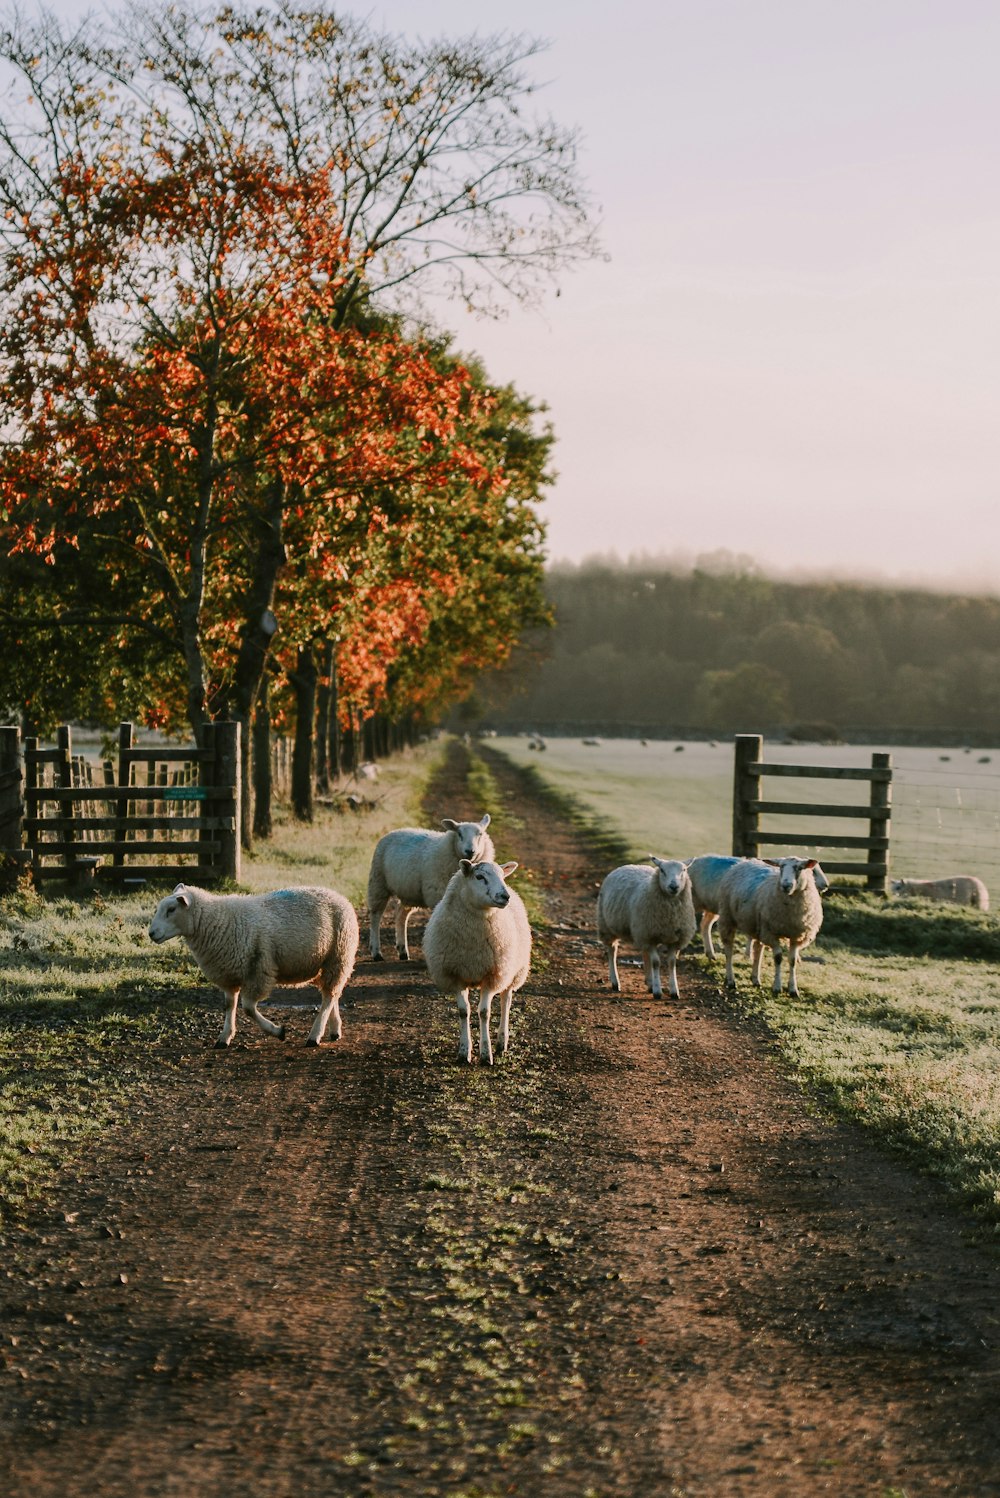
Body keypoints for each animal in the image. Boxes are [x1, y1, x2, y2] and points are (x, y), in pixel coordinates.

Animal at [148, 880, 359, 1048]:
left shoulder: (258, 970)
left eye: (171, 910)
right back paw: (334, 1030)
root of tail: (340, 897)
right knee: (332, 994)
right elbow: (229, 1005)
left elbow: (248, 1008)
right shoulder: (229, 974)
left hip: (338, 956)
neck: (218, 922)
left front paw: (277, 1031)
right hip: (324, 962)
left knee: (329, 996)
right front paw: (224, 1038)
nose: (151, 933)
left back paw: (315, 1035)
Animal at [419, 856, 529, 1066]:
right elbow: (463, 1011)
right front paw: (464, 1052)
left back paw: (501, 1042)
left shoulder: (492, 975)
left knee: (506, 1002)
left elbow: (484, 1012)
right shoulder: (455, 975)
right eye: (479, 877)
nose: (505, 896)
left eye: (502, 876)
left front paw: (486, 1054)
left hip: (512, 971)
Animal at [592, 862, 694, 1000]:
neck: (670, 915)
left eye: (684, 870)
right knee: (612, 951)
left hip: (641, 932)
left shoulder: (674, 940)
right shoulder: (649, 937)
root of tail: (629, 865)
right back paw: (615, 982)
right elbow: (656, 962)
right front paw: (658, 992)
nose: (674, 887)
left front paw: (674, 991)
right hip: (607, 926)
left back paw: (650, 983)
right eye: (662, 870)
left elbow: (672, 963)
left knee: (645, 954)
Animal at [682, 856, 832, 958]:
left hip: (714, 907)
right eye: (813, 871)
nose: (826, 885)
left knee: (705, 925)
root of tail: (689, 861)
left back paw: (710, 953)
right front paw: (749, 955)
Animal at [715, 856, 826, 994]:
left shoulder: (796, 935)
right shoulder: (771, 933)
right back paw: (730, 980)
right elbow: (778, 958)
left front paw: (793, 989)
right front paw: (777, 987)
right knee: (729, 950)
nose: (786, 885)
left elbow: (792, 960)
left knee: (758, 950)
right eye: (781, 867)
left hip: (757, 925)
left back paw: (755, 979)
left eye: (800, 868)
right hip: (727, 917)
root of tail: (746, 861)